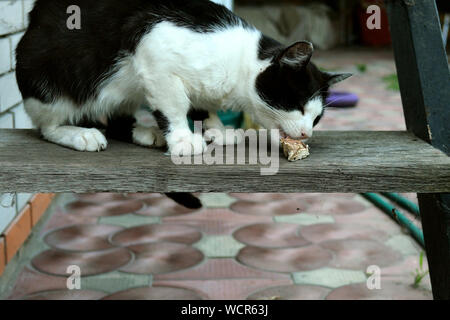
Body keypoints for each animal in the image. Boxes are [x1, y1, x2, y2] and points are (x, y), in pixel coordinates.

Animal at [14, 0, 352, 155]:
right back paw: (78, 134)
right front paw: (182, 139)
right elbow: (175, 104)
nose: (307, 133)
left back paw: (143, 131)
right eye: (297, 104)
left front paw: (216, 129)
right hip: (51, 82)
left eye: (317, 117)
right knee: (47, 126)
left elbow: (203, 103)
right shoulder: (153, 48)